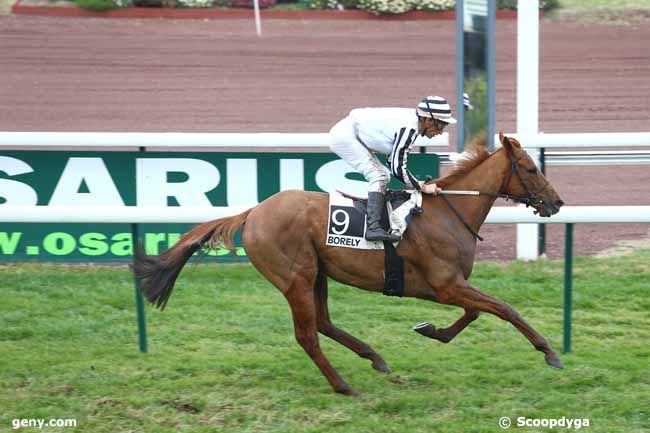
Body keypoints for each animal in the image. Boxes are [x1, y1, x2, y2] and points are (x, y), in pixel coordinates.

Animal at [133, 133, 560, 394]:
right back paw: (342, 385)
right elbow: (503, 308)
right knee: (307, 334)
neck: (446, 214)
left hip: (317, 273)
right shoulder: (446, 285)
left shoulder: (448, 287)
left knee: (322, 323)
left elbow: (474, 313)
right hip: (296, 277)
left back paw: (374, 357)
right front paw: (549, 352)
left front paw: (431, 330)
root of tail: (253, 212)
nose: (556, 203)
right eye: (530, 167)